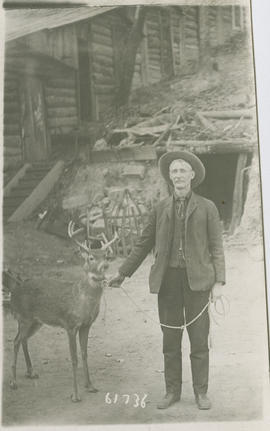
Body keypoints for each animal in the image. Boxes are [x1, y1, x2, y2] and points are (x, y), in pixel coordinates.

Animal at [3, 224, 118, 404]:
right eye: (91, 257)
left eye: (105, 256)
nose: (105, 265)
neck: (82, 301)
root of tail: (14, 291)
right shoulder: (70, 325)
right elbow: (74, 358)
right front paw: (75, 395)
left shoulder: (86, 325)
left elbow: (84, 354)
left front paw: (90, 386)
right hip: (23, 317)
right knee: (15, 341)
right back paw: (13, 382)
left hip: (36, 321)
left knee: (22, 340)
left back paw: (31, 372)